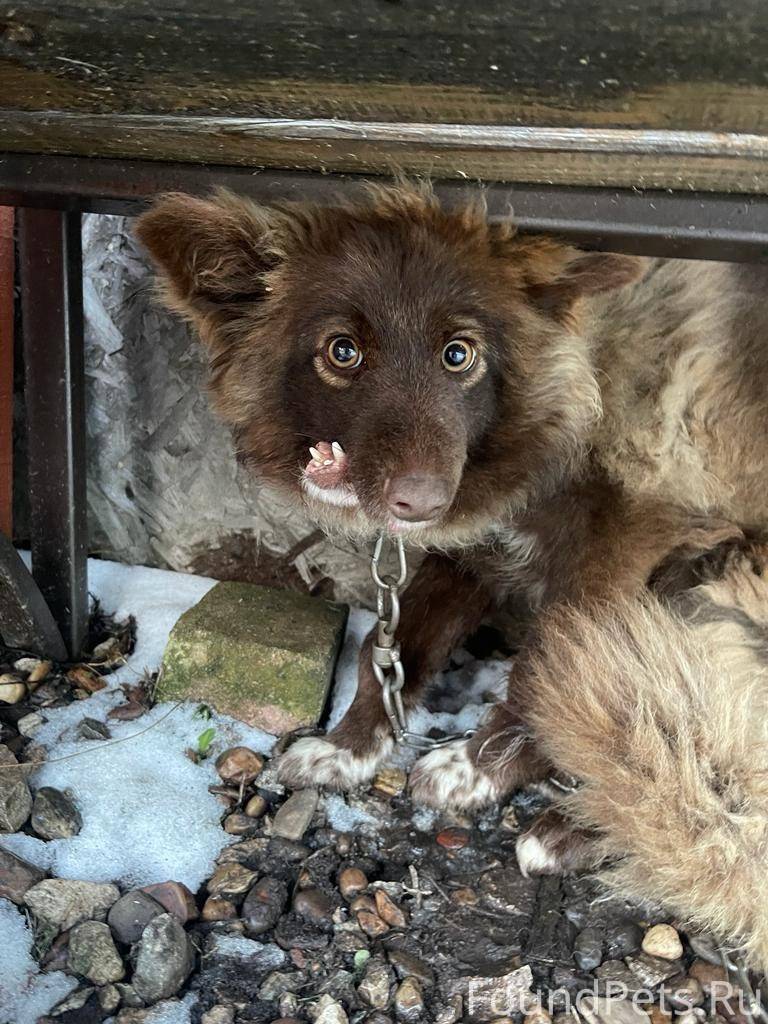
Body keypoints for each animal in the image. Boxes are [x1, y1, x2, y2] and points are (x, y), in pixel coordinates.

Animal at [137, 182, 768, 806]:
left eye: (458, 354)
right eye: (343, 350)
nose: (421, 504)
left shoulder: (618, 552)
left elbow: (550, 673)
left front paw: (475, 769)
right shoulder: (470, 548)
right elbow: (391, 648)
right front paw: (347, 748)